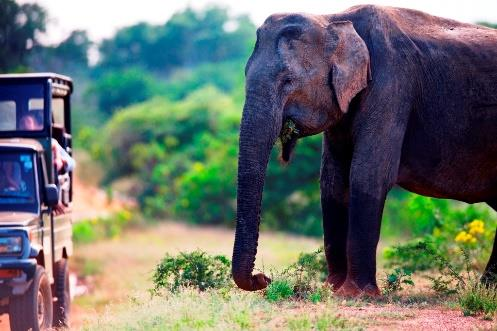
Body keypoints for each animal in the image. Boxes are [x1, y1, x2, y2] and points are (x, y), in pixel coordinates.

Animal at [232, 3, 496, 296]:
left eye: (288, 80)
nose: (263, 278)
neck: (333, 19)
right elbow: (333, 182)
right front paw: (332, 288)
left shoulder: (392, 85)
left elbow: (367, 175)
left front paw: (354, 295)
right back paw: (486, 289)